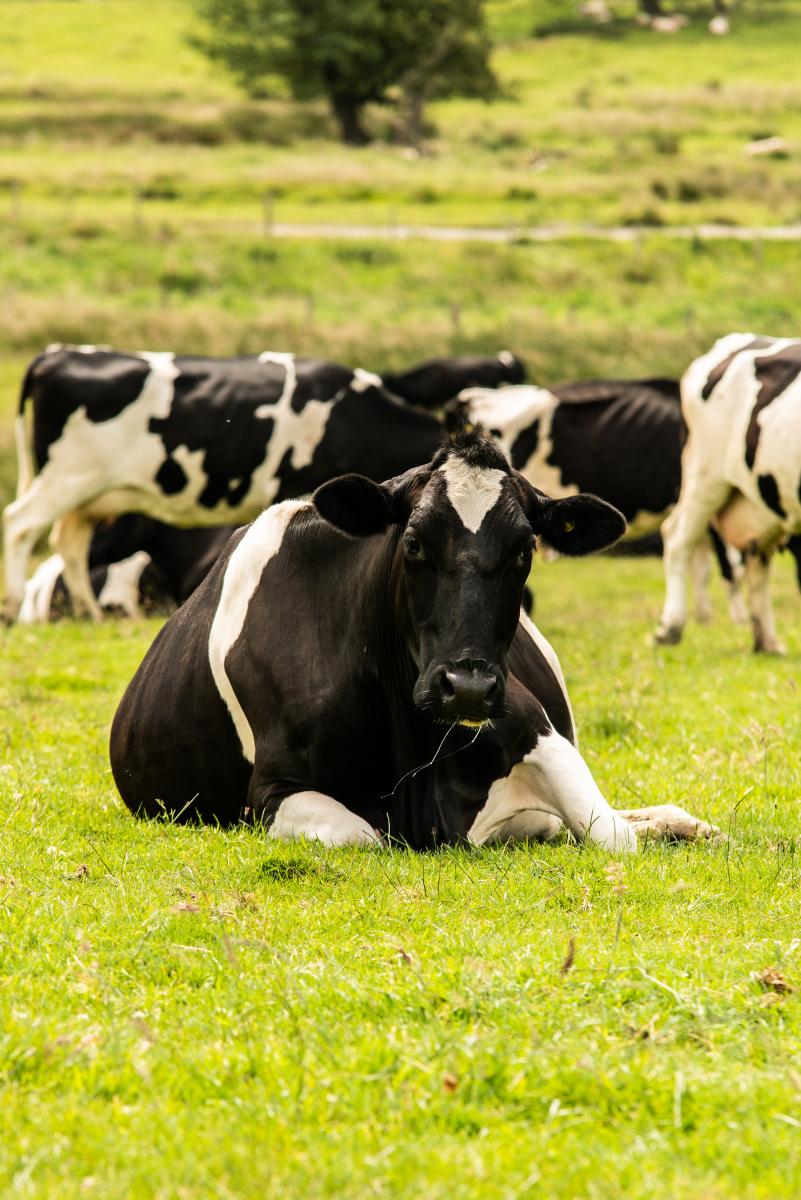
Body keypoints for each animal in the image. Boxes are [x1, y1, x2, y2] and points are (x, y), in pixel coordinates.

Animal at [106, 427, 714, 849]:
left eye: (525, 550)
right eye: (414, 543)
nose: (467, 687)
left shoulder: (537, 731)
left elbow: (612, 836)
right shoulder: (273, 789)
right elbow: (364, 835)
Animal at [652, 336, 801, 657]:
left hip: (760, 501)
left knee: (757, 563)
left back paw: (767, 642)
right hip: (704, 477)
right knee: (677, 538)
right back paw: (670, 628)